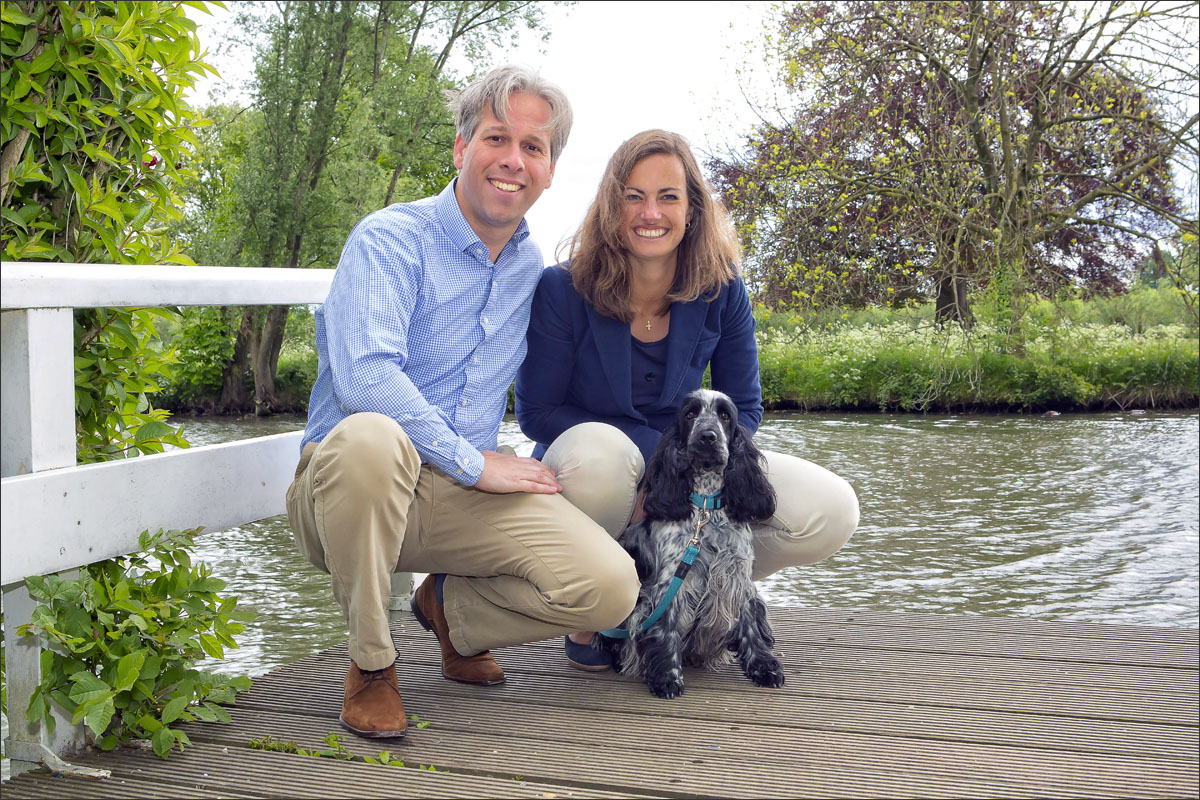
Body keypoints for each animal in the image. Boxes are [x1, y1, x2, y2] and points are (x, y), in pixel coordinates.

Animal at [595, 391, 782, 695]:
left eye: (725, 415)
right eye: (691, 414)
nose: (707, 437)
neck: (707, 507)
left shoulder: (738, 574)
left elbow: (750, 625)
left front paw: (764, 667)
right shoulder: (670, 582)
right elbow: (666, 627)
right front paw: (667, 677)